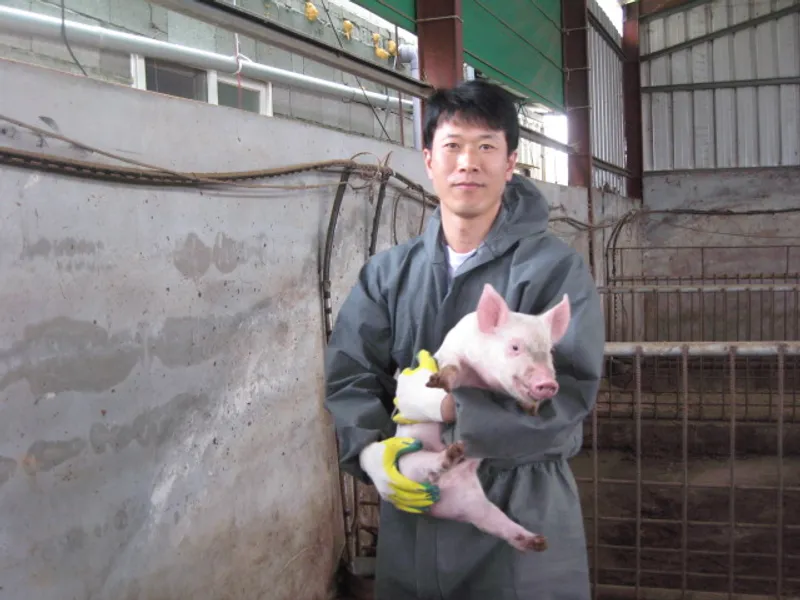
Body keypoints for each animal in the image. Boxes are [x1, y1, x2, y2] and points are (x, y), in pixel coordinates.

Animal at [394, 283, 571, 553]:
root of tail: (436, 508)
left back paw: (539, 542)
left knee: (497, 524)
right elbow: (451, 368)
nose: (548, 384)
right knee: (430, 466)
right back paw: (452, 454)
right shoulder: (452, 347)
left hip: (476, 505)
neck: (481, 380)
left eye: (550, 351)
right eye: (515, 347)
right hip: (409, 466)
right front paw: (437, 383)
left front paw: (531, 409)